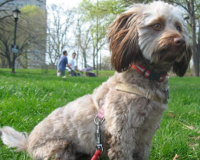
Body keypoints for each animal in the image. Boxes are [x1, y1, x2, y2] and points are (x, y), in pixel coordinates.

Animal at [0, 1, 191, 160]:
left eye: (178, 27)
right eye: (157, 24)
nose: (181, 41)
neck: (147, 78)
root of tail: (28, 144)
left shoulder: (146, 134)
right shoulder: (122, 134)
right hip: (60, 148)